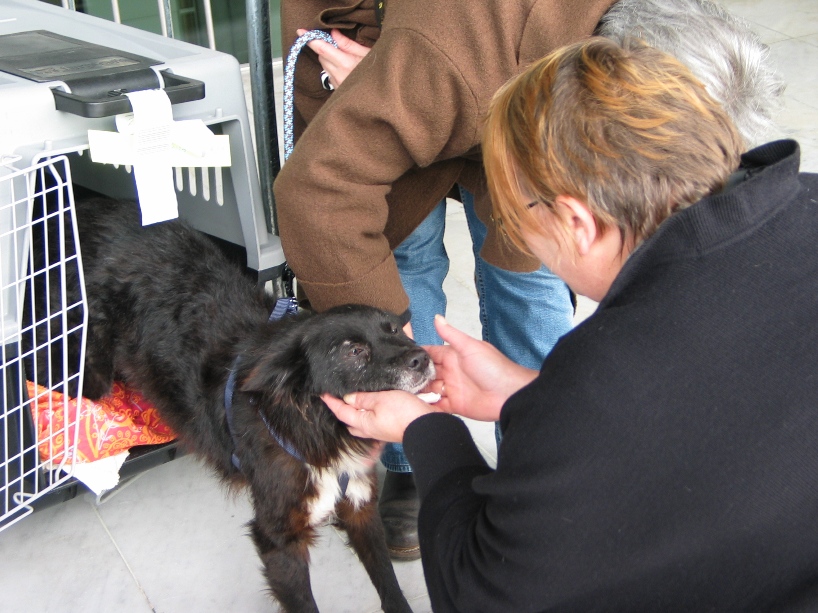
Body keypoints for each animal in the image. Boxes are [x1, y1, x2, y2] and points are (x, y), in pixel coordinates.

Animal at [41, 197, 430, 612]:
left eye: (393, 329)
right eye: (354, 351)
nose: (422, 358)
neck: (315, 423)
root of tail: (88, 204)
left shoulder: (360, 506)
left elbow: (389, 583)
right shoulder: (278, 540)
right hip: (87, 369)